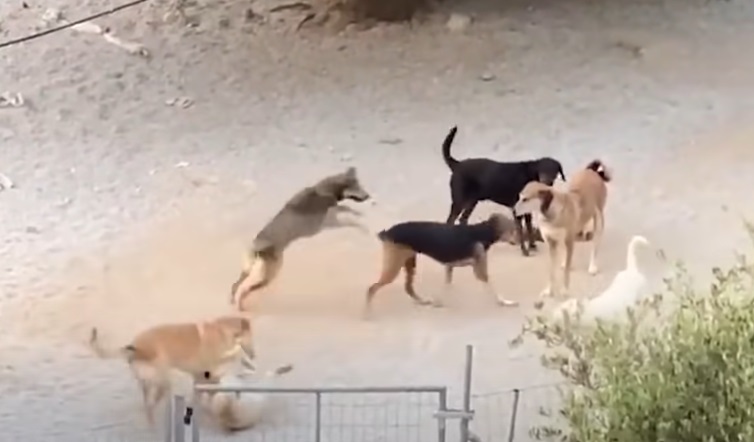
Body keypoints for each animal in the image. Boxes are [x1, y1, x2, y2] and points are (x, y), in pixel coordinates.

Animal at [88, 314, 256, 424]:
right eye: (251, 336)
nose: (254, 355)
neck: (222, 330)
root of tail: (135, 348)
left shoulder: (200, 375)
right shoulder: (210, 370)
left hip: (148, 383)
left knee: (147, 403)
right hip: (162, 382)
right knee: (151, 406)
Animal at [229, 167, 370, 310]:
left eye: (361, 186)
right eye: (357, 187)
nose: (368, 196)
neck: (322, 191)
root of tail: (255, 246)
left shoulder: (330, 220)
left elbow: (347, 210)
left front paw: (359, 215)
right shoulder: (329, 223)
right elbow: (349, 217)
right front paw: (363, 227)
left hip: (253, 274)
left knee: (236, 286)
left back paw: (236, 303)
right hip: (266, 276)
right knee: (244, 288)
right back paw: (240, 304)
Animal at [362, 212, 516, 316]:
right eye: (511, 229)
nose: (518, 240)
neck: (482, 232)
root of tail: (388, 232)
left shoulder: (450, 266)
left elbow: (446, 285)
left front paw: (438, 302)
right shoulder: (479, 271)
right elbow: (493, 288)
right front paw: (505, 302)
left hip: (409, 263)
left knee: (408, 288)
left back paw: (423, 301)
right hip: (394, 266)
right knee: (372, 289)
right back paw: (368, 314)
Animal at [440, 125, 564, 256]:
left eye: (554, 170)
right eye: (543, 168)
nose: (547, 181)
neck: (530, 176)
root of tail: (457, 165)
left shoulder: (527, 211)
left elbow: (529, 228)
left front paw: (532, 246)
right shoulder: (516, 211)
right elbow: (520, 231)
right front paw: (525, 250)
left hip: (472, 201)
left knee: (463, 219)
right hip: (459, 201)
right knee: (450, 221)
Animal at [512, 159, 612, 296]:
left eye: (526, 199)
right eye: (519, 197)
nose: (513, 211)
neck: (550, 215)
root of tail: (593, 172)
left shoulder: (568, 241)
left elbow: (566, 273)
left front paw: (564, 290)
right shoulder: (551, 243)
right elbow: (551, 270)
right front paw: (549, 290)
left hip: (599, 221)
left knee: (594, 246)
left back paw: (592, 266)